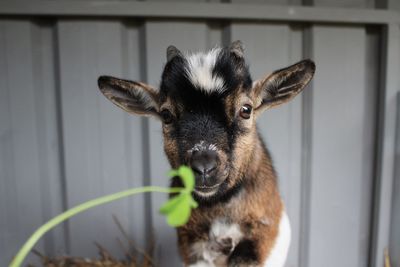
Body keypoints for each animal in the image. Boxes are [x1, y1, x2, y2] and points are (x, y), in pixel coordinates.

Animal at [97, 40, 316, 267]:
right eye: (166, 115)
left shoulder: (263, 233)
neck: (219, 206)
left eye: (246, 110)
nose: (204, 167)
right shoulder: (193, 246)